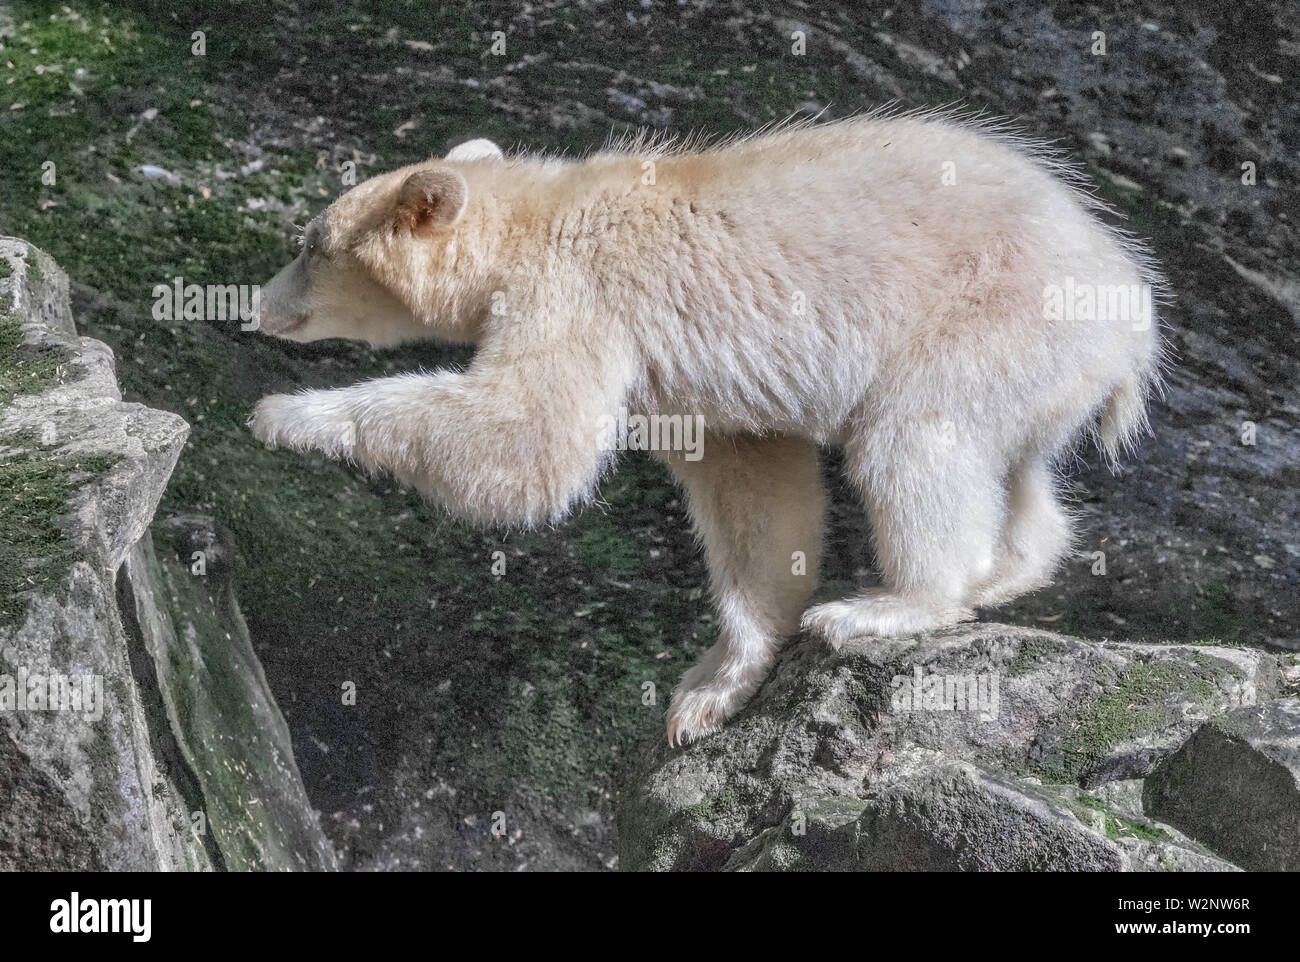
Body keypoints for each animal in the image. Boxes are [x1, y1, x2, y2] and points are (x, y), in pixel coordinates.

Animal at [248, 111, 1164, 743]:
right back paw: (1005, 574)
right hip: (1041, 361)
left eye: (310, 243)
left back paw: (892, 605)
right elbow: (754, 487)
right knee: (1016, 463)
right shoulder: (699, 390)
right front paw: (710, 689)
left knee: (917, 438)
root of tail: (1132, 310)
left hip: (985, 311)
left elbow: (531, 439)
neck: (536, 218)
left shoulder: (579, 293)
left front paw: (287, 415)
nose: (256, 302)